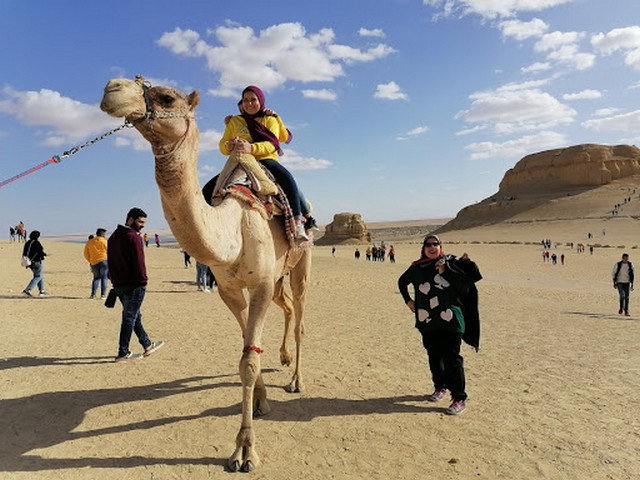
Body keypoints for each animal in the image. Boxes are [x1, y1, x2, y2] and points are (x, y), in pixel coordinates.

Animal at [100, 76, 312, 472]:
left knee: (301, 315)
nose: (111, 88)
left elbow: (248, 360)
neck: (233, 228)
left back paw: (296, 379)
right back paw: (283, 359)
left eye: (167, 97)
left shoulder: (260, 284)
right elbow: (246, 348)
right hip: (278, 279)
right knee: (288, 308)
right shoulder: (230, 289)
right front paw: (260, 402)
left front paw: (245, 451)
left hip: (300, 263)